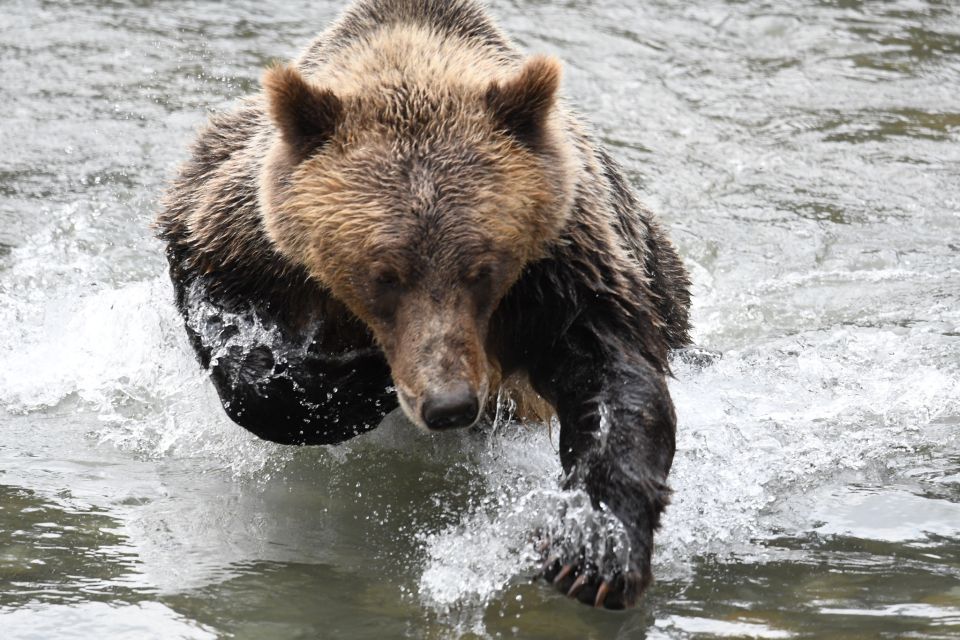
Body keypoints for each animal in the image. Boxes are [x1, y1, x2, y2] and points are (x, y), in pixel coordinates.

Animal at [158, 0, 688, 608]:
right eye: (383, 275)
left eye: (482, 269)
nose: (450, 404)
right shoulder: (244, 233)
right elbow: (233, 331)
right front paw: (352, 384)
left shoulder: (563, 268)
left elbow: (613, 379)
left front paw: (593, 552)